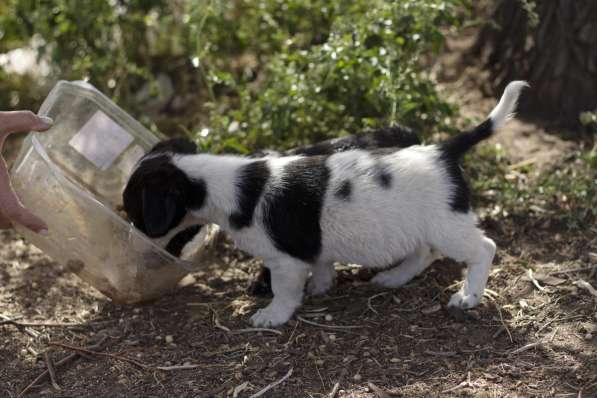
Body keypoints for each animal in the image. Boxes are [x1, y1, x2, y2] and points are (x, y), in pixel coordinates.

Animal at [122, 81, 528, 326]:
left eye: (134, 209)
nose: (130, 235)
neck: (230, 184)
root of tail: (442, 150)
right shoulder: (308, 249)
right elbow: (321, 263)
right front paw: (322, 284)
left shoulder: (284, 261)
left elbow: (285, 291)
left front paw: (271, 316)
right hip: (423, 226)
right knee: (425, 252)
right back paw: (394, 277)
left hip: (448, 227)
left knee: (483, 248)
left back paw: (468, 295)